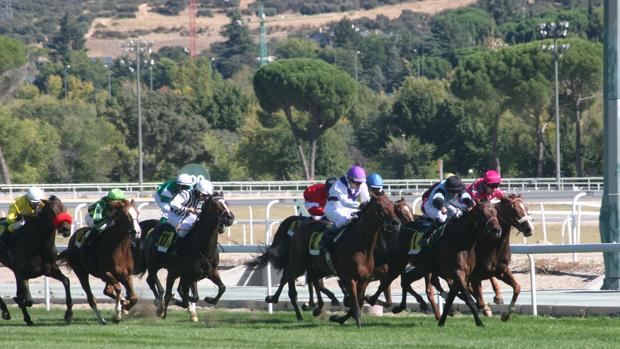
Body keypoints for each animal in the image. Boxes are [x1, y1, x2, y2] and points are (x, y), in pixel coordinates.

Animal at [0, 194, 72, 324]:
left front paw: (68, 314)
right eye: (53, 211)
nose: (66, 229)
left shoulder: (49, 269)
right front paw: (18, 301)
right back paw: (6, 311)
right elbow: (27, 299)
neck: (37, 245)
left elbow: (66, 281)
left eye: (65, 209)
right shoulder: (21, 273)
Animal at [248, 193, 402, 326]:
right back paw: (273, 298)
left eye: (392, 204)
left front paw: (339, 318)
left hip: (318, 267)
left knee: (311, 280)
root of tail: (300, 226)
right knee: (287, 276)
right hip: (298, 264)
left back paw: (313, 307)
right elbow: (355, 302)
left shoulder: (364, 279)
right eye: (380, 206)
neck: (361, 244)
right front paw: (356, 321)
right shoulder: (348, 278)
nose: (395, 222)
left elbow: (359, 301)